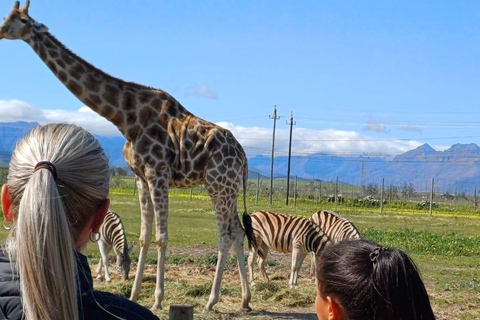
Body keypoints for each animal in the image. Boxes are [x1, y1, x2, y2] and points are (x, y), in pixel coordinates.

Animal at [0, 1, 255, 312]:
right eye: (7, 16)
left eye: (21, 20)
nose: (1, 30)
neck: (125, 116)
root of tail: (243, 158)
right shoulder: (141, 178)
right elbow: (144, 237)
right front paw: (134, 294)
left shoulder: (158, 173)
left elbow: (161, 237)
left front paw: (157, 299)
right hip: (224, 186)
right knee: (238, 232)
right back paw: (244, 300)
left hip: (219, 184)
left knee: (226, 234)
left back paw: (211, 300)